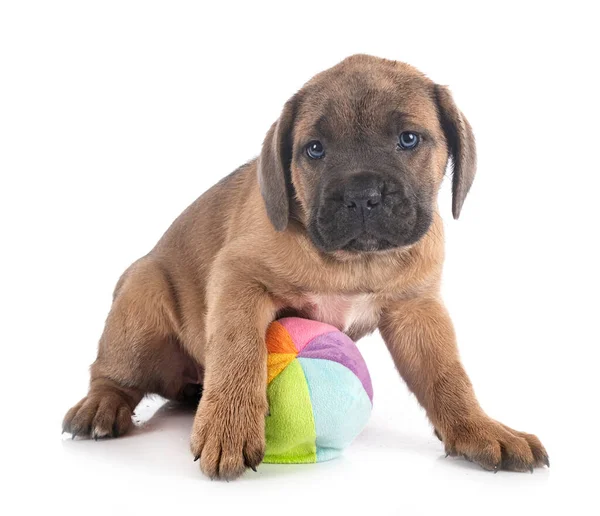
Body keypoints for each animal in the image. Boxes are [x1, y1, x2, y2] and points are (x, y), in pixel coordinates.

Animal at [63, 53, 548, 480]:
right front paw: (230, 424)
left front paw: (479, 429)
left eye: (408, 139)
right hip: (140, 309)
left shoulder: (417, 309)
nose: (362, 195)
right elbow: (238, 349)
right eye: (314, 150)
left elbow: (448, 376)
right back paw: (101, 406)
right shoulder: (239, 279)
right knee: (111, 374)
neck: (356, 262)